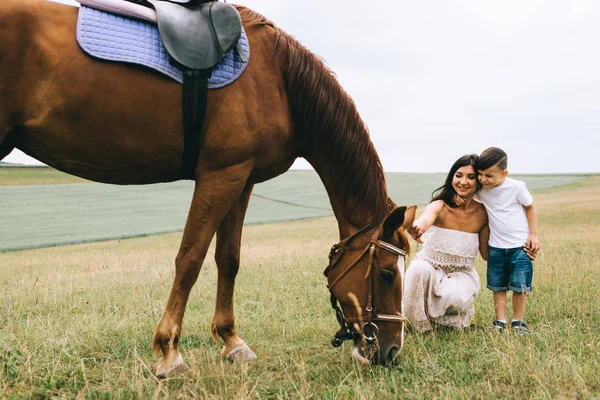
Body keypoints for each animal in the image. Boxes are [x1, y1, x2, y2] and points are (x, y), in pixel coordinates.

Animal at [0, 0, 414, 376]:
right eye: (387, 274)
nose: (392, 350)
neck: (278, 77)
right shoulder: (221, 175)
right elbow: (190, 259)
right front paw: (169, 351)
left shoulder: (242, 179)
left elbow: (228, 259)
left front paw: (232, 341)